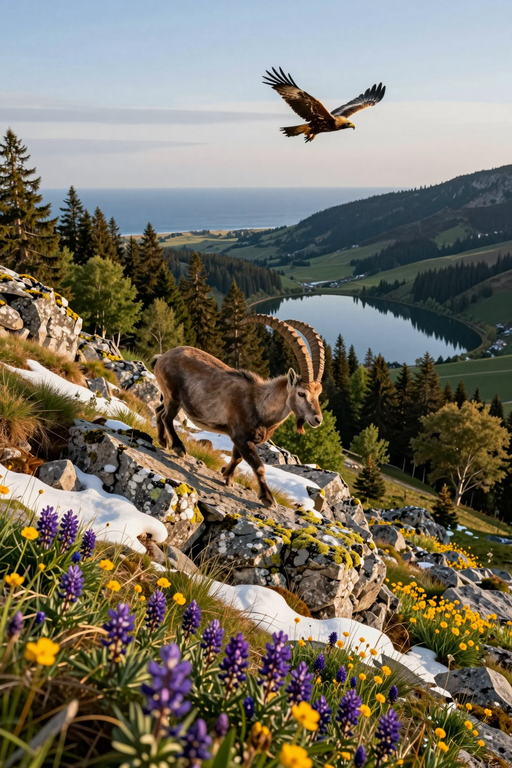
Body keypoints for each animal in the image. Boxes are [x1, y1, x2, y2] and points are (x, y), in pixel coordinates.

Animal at [153, 314, 325, 508]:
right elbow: (258, 466)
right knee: (167, 417)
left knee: (159, 410)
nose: (317, 419)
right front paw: (267, 497)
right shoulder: (241, 436)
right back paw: (178, 447)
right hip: (173, 396)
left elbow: (237, 457)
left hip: (168, 397)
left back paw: (162, 441)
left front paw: (227, 476)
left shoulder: (238, 438)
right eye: (302, 393)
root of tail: (162, 357)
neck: (259, 404)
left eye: (319, 393)